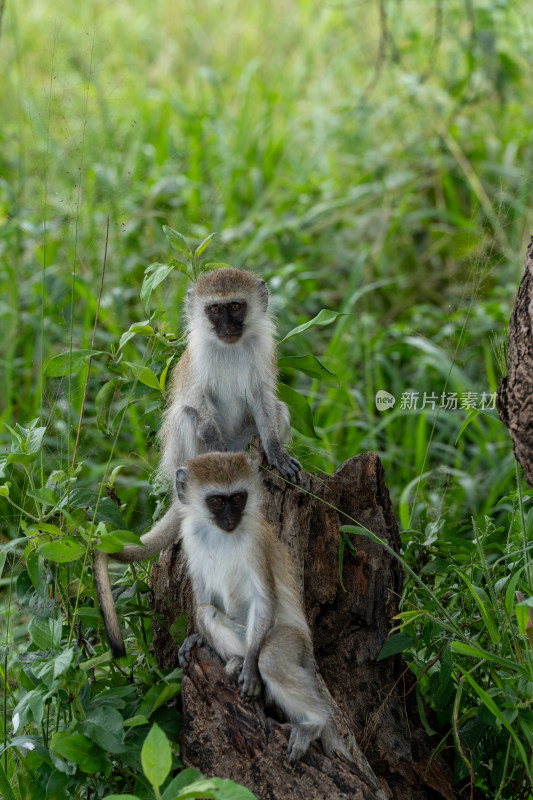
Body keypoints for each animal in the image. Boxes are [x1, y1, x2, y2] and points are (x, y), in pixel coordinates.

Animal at [94, 268, 300, 656]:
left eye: (236, 306)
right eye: (215, 310)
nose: (229, 326)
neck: (229, 347)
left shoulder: (262, 353)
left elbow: (266, 402)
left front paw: (277, 454)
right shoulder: (198, 362)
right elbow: (197, 405)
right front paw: (216, 447)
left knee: (278, 410)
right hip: (183, 455)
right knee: (185, 415)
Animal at [177, 450, 348, 764]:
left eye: (238, 498)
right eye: (218, 501)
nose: (230, 518)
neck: (220, 534)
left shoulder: (255, 541)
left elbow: (263, 599)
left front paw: (250, 670)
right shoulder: (190, 534)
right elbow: (204, 595)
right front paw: (197, 638)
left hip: (296, 642)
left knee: (271, 659)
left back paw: (313, 722)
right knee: (206, 612)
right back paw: (235, 661)